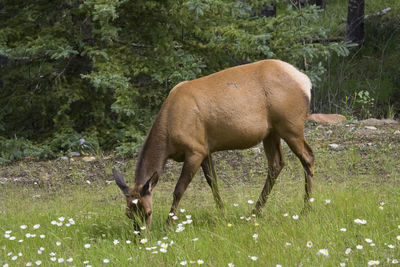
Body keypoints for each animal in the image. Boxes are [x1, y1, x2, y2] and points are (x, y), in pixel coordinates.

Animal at [112, 59, 316, 231]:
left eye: (148, 212)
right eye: (128, 214)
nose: (140, 237)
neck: (168, 138)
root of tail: (305, 81)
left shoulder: (195, 149)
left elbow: (178, 190)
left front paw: (168, 225)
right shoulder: (206, 149)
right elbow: (213, 183)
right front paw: (223, 214)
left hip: (291, 126)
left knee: (308, 156)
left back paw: (306, 209)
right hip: (271, 132)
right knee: (276, 164)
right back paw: (255, 212)